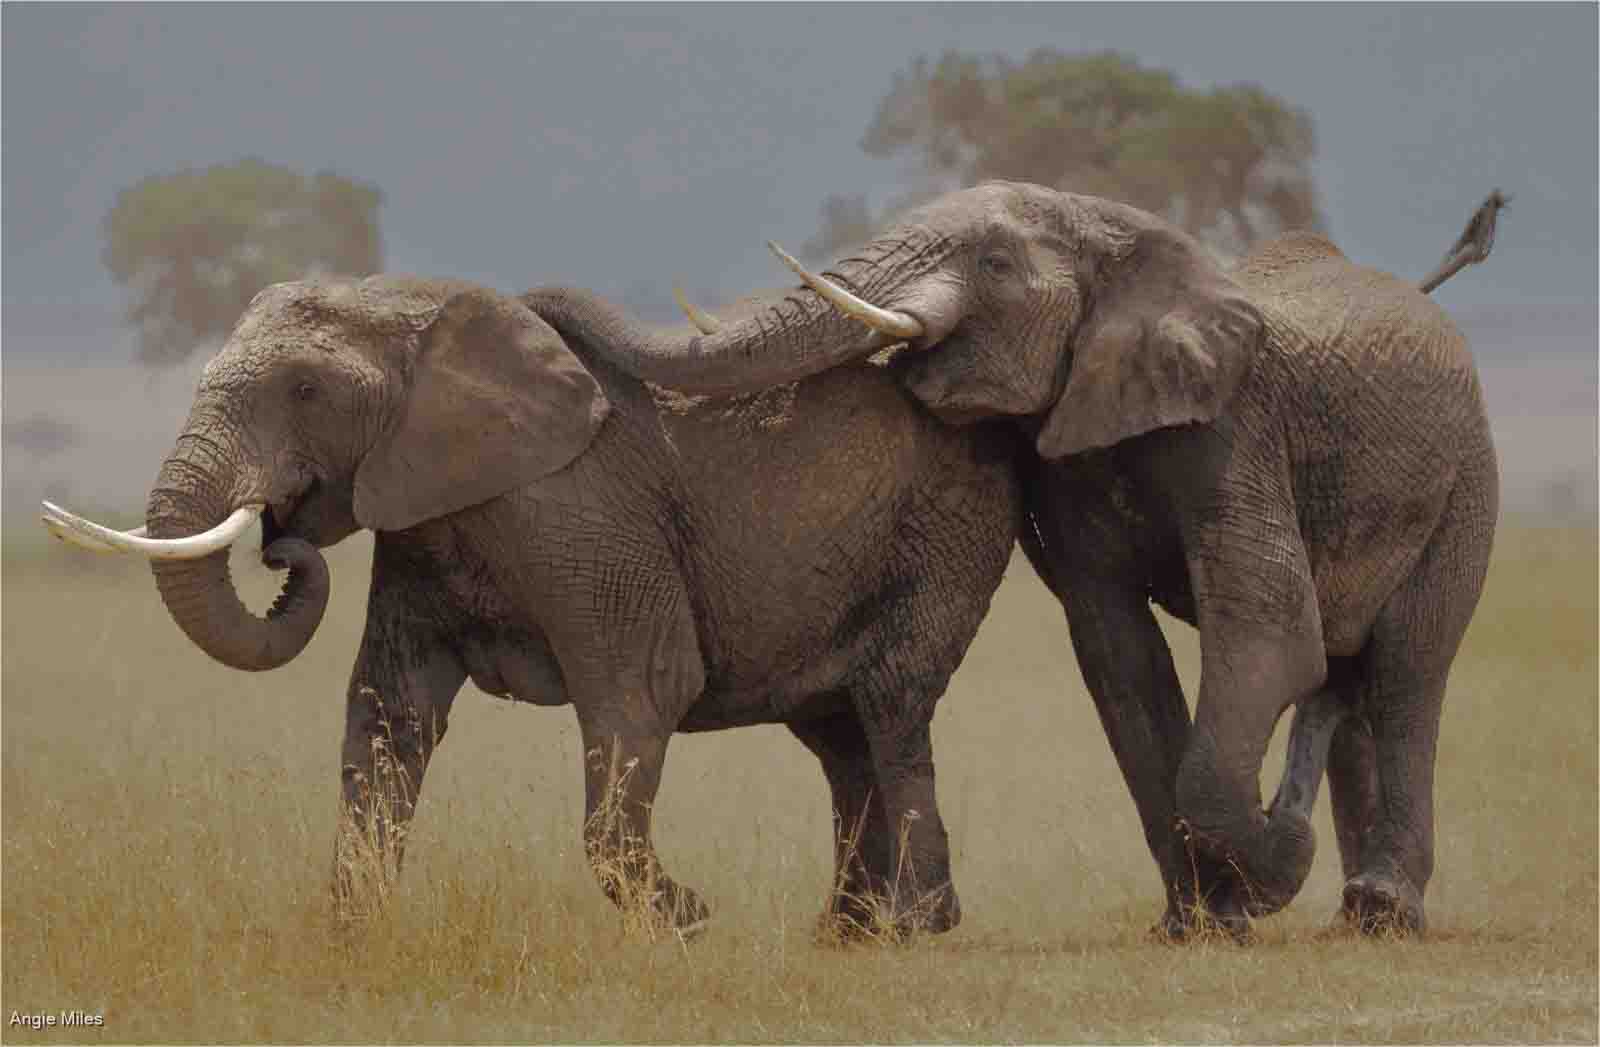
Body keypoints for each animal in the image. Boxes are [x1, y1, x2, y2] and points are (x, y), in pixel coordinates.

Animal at [42, 275, 1024, 939]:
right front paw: (352, 933)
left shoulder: (581, 511)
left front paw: (688, 919)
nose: (280, 542)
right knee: (839, 733)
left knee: (890, 704)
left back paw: (915, 927)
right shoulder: (422, 526)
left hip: (945, 529)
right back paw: (846, 933)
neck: (428, 317)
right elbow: (391, 714)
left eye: (307, 391)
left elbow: (643, 690)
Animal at [529, 183, 1503, 938]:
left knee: (1407, 671)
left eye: (995, 262)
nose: (539, 299)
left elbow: (1270, 630)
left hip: (1468, 478)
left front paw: (1270, 872)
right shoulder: (1067, 445)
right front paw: (1199, 923)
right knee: (1355, 676)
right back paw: (1351, 905)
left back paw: (1384, 909)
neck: (1117, 230)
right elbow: (1117, 654)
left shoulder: (1238, 422)